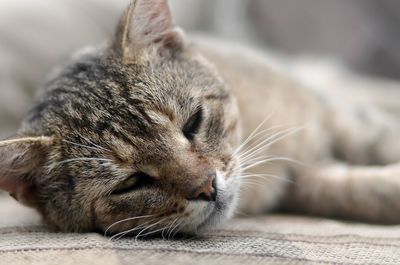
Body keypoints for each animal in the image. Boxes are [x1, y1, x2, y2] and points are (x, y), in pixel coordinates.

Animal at [0, 0, 400, 237]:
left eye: (193, 121)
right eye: (131, 183)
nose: (208, 188)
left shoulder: (334, 114)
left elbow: (378, 137)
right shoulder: (304, 180)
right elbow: (353, 192)